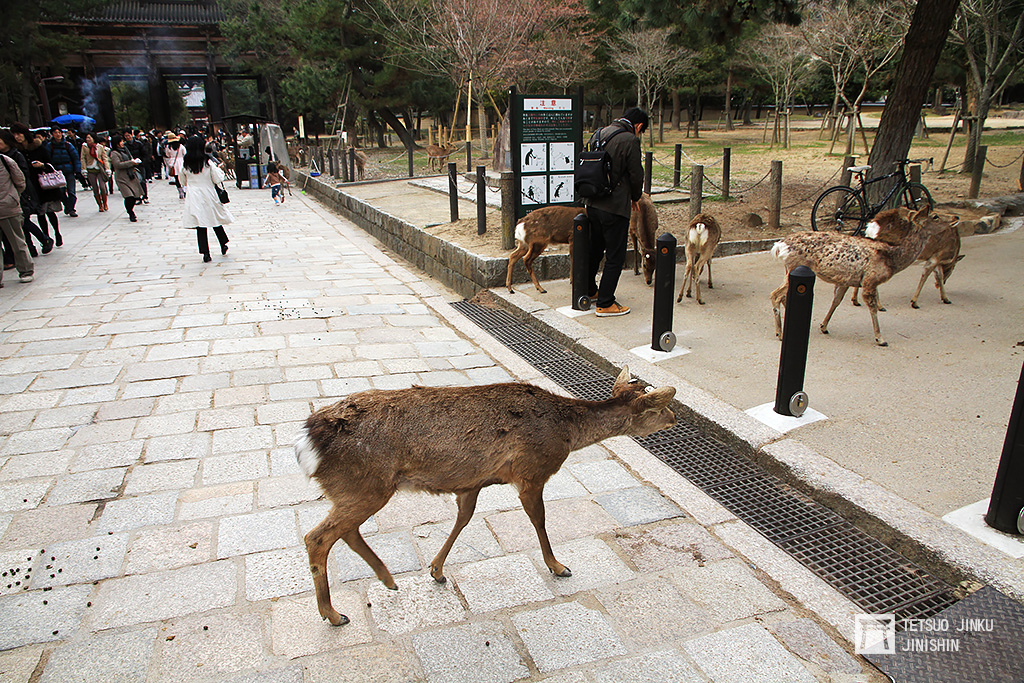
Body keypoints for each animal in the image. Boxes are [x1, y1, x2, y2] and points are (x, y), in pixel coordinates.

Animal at [294, 368, 679, 626]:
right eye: (658, 409)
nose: (675, 419)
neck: (566, 433)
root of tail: (308, 442)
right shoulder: (532, 471)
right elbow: (539, 519)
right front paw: (558, 566)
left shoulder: (472, 481)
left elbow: (464, 518)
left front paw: (436, 570)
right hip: (367, 485)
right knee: (317, 536)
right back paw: (333, 613)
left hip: (358, 490)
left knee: (345, 531)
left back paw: (387, 580)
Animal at [770, 206, 946, 348]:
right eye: (935, 216)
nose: (952, 220)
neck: (893, 259)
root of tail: (779, 245)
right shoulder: (870, 280)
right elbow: (872, 307)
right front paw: (880, 338)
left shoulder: (846, 280)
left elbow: (836, 301)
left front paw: (824, 326)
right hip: (795, 266)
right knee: (775, 294)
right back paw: (779, 333)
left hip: (788, 270)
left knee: (782, 296)